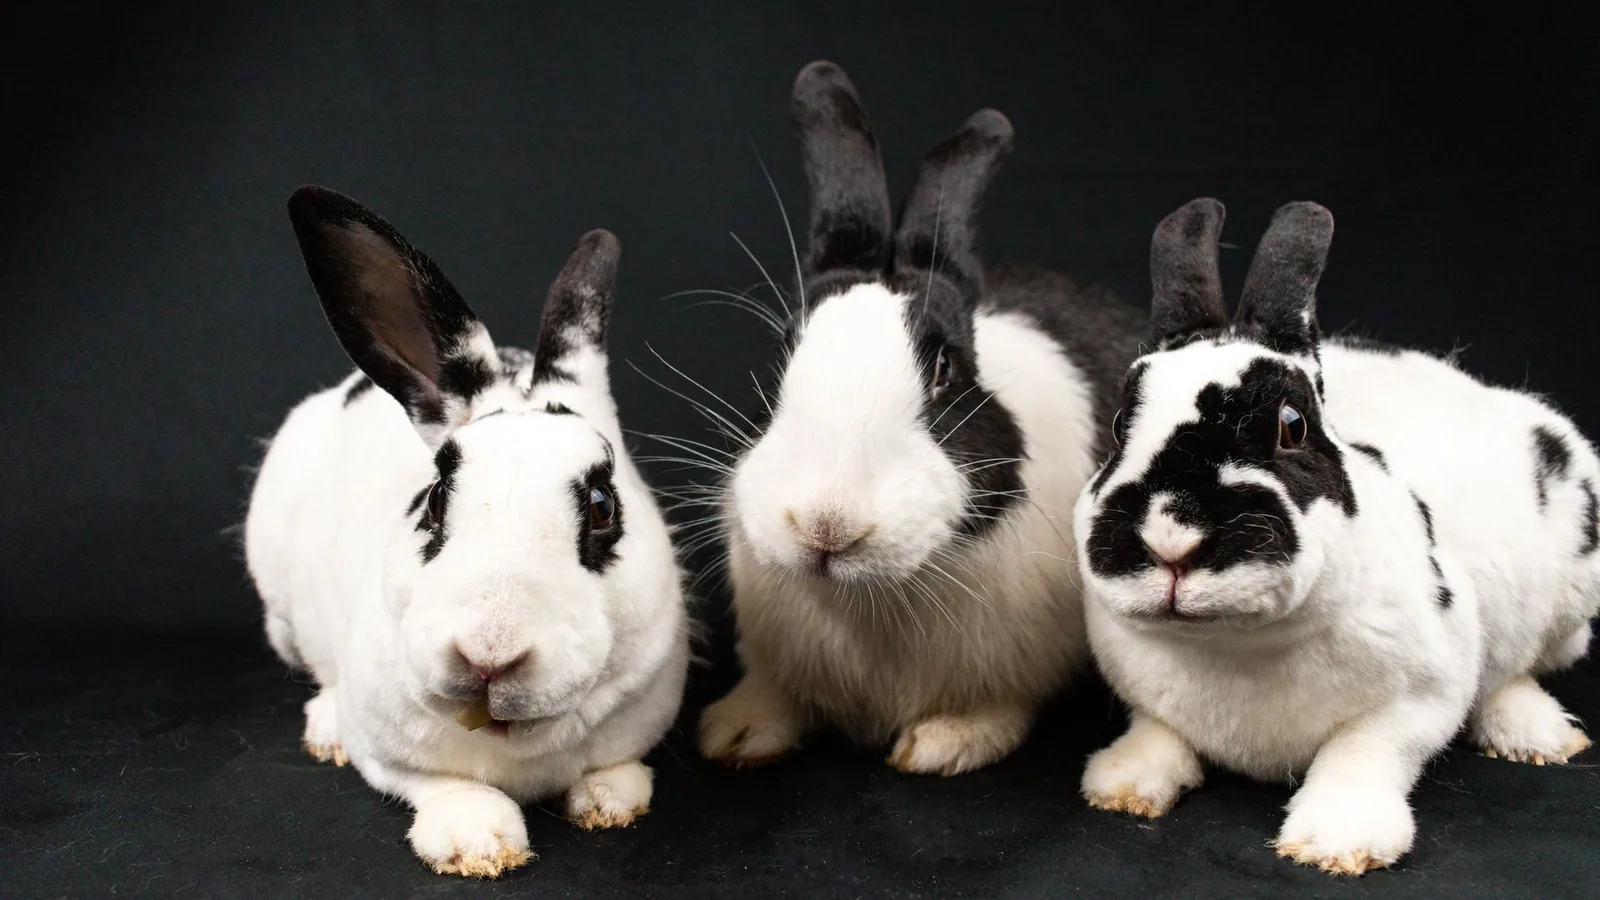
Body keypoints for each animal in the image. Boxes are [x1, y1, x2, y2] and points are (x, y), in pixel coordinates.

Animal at [244, 186, 689, 878]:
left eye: (602, 507)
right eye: (433, 500)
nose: (488, 655)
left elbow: (617, 767)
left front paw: (609, 803)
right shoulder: (389, 752)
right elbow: (443, 785)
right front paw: (476, 843)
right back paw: (325, 730)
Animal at [696, 60, 1145, 776]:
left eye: (945, 371)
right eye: (783, 354)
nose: (825, 524)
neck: (869, 598)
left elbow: (995, 709)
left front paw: (942, 744)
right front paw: (735, 732)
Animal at [1075, 197, 1600, 875]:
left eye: (1292, 426)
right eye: (1119, 427)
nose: (1171, 541)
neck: (1236, 644)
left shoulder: (1418, 701)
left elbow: (1361, 756)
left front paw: (1338, 844)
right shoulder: (1145, 696)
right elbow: (1157, 733)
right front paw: (1121, 786)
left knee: (1517, 672)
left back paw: (1540, 737)